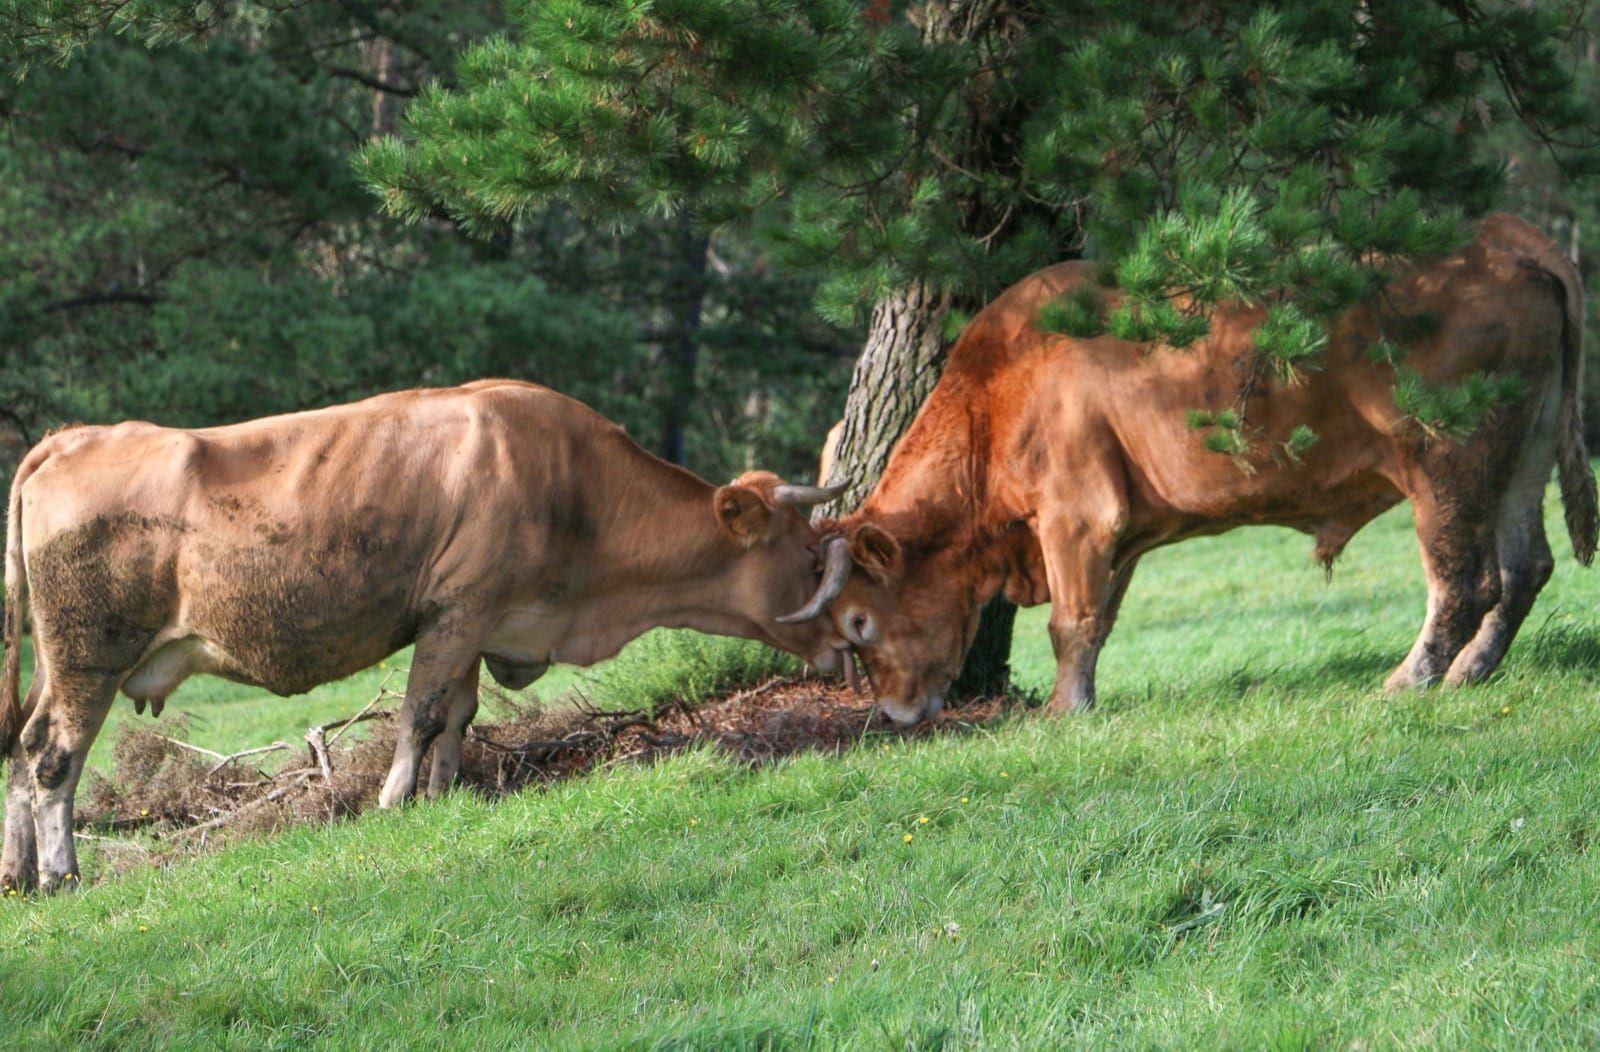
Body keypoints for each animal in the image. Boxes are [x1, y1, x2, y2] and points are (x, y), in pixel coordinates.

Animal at [0, 379, 849, 892]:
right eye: (810, 556)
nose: (850, 640)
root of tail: (69, 438)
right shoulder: (456, 609)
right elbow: (422, 712)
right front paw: (393, 799)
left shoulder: (480, 622)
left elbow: (458, 715)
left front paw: (445, 795)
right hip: (89, 654)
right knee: (51, 755)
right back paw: (60, 873)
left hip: (52, 658)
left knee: (17, 746)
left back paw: (18, 874)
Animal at [777, 215, 1598, 726]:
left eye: (860, 619)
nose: (894, 714)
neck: (999, 386)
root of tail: (1502, 237)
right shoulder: (1120, 530)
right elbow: (1100, 620)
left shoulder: (1076, 516)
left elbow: (1070, 622)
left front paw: (1065, 712)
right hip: (1521, 459)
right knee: (1526, 568)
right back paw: (1471, 671)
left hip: (1445, 466)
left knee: (1465, 582)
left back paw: (1411, 679)